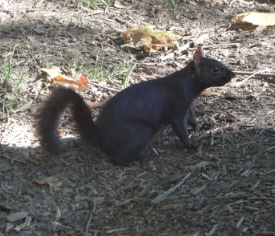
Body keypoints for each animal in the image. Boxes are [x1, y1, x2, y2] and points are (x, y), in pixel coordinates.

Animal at [35, 46, 236, 164]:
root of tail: (102, 138)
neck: (189, 83)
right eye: (215, 69)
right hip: (140, 131)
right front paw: (189, 145)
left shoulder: (188, 105)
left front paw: (202, 126)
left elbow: (192, 118)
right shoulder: (177, 105)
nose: (232, 74)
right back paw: (140, 158)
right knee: (116, 159)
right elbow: (180, 127)